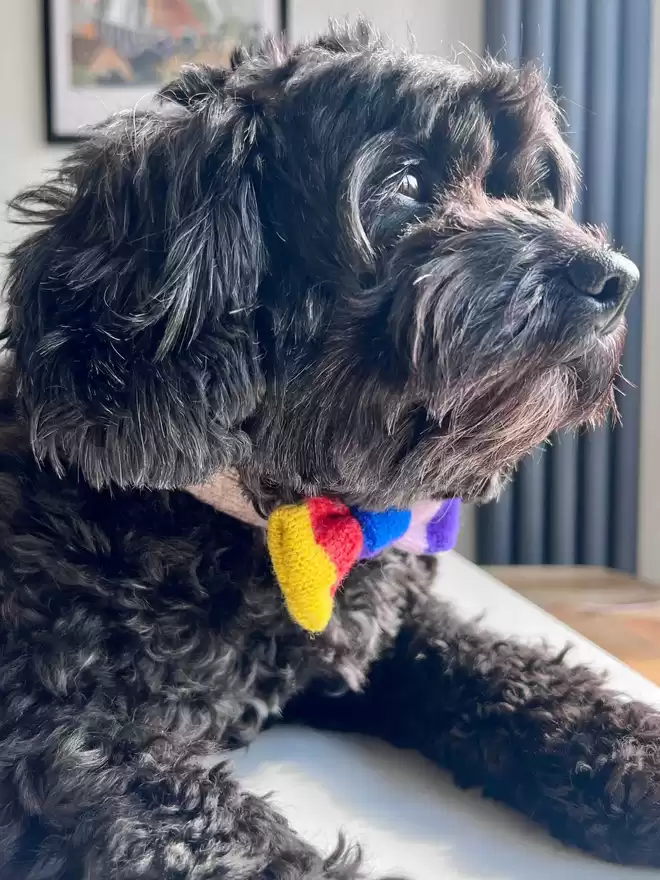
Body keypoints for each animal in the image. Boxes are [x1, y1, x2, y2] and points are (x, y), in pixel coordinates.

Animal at [0, 18, 656, 872]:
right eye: (403, 184)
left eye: (536, 191)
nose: (617, 278)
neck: (279, 522)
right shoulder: (55, 729)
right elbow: (220, 842)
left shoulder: (383, 637)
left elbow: (504, 665)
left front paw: (633, 754)